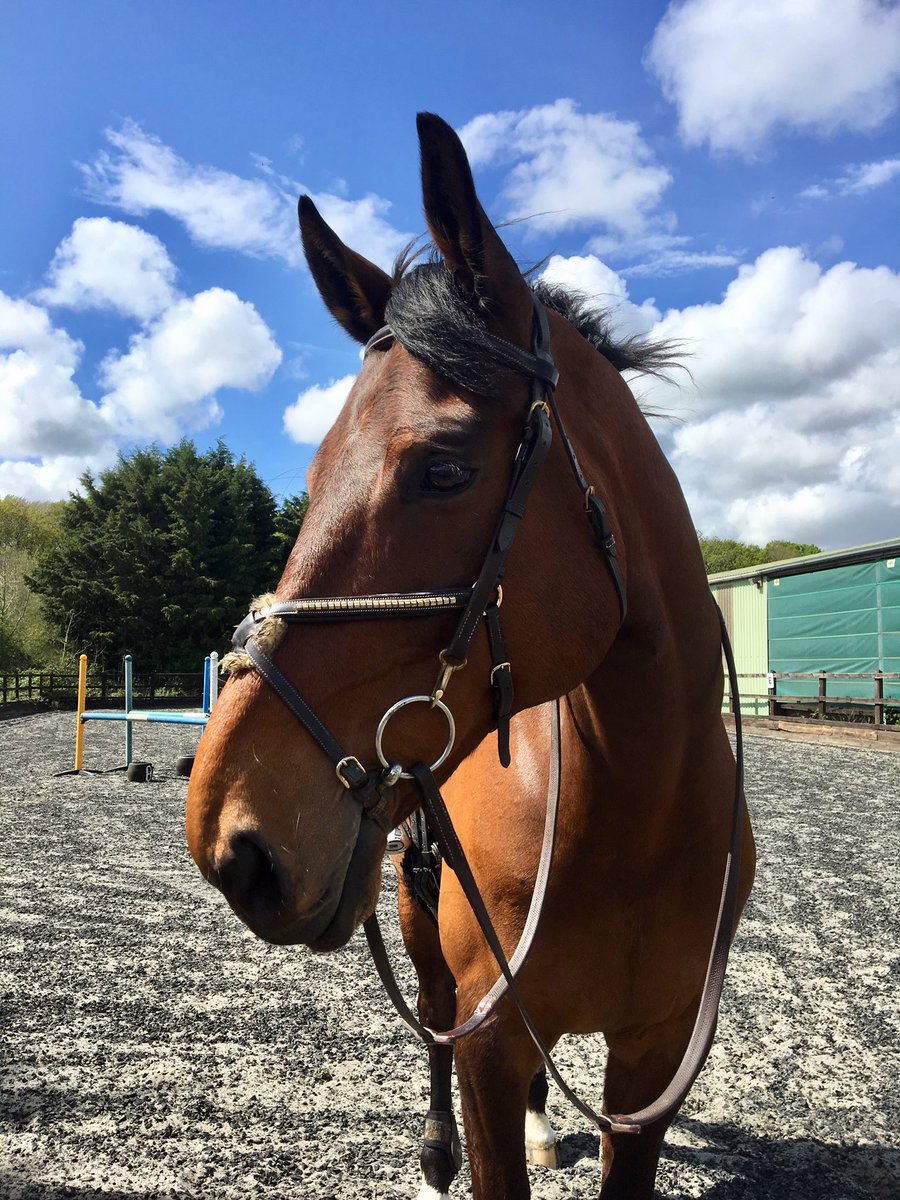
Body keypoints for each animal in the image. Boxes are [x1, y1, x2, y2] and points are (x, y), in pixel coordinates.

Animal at [186, 112, 755, 1200]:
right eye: (312, 477)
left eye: (442, 470)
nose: (230, 837)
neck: (642, 814)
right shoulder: (494, 1044)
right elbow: (470, 1062)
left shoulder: (657, 1057)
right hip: (419, 926)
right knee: (435, 1024)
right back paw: (432, 1154)